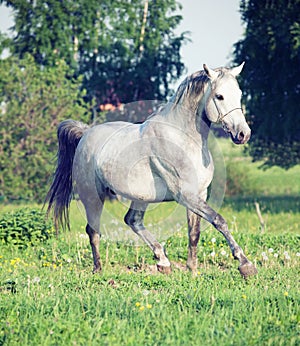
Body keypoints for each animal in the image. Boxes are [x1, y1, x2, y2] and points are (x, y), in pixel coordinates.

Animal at [46, 62, 258, 278]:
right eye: (219, 96)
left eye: (239, 93)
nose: (243, 134)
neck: (184, 139)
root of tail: (85, 133)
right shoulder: (186, 195)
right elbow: (218, 220)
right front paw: (245, 264)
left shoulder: (199, 194)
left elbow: (194, 232)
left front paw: (192, 269)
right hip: (93, 196)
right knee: (93, 231)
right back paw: (99, 269)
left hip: (140, 197)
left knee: (132, 220)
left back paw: (162, 261)